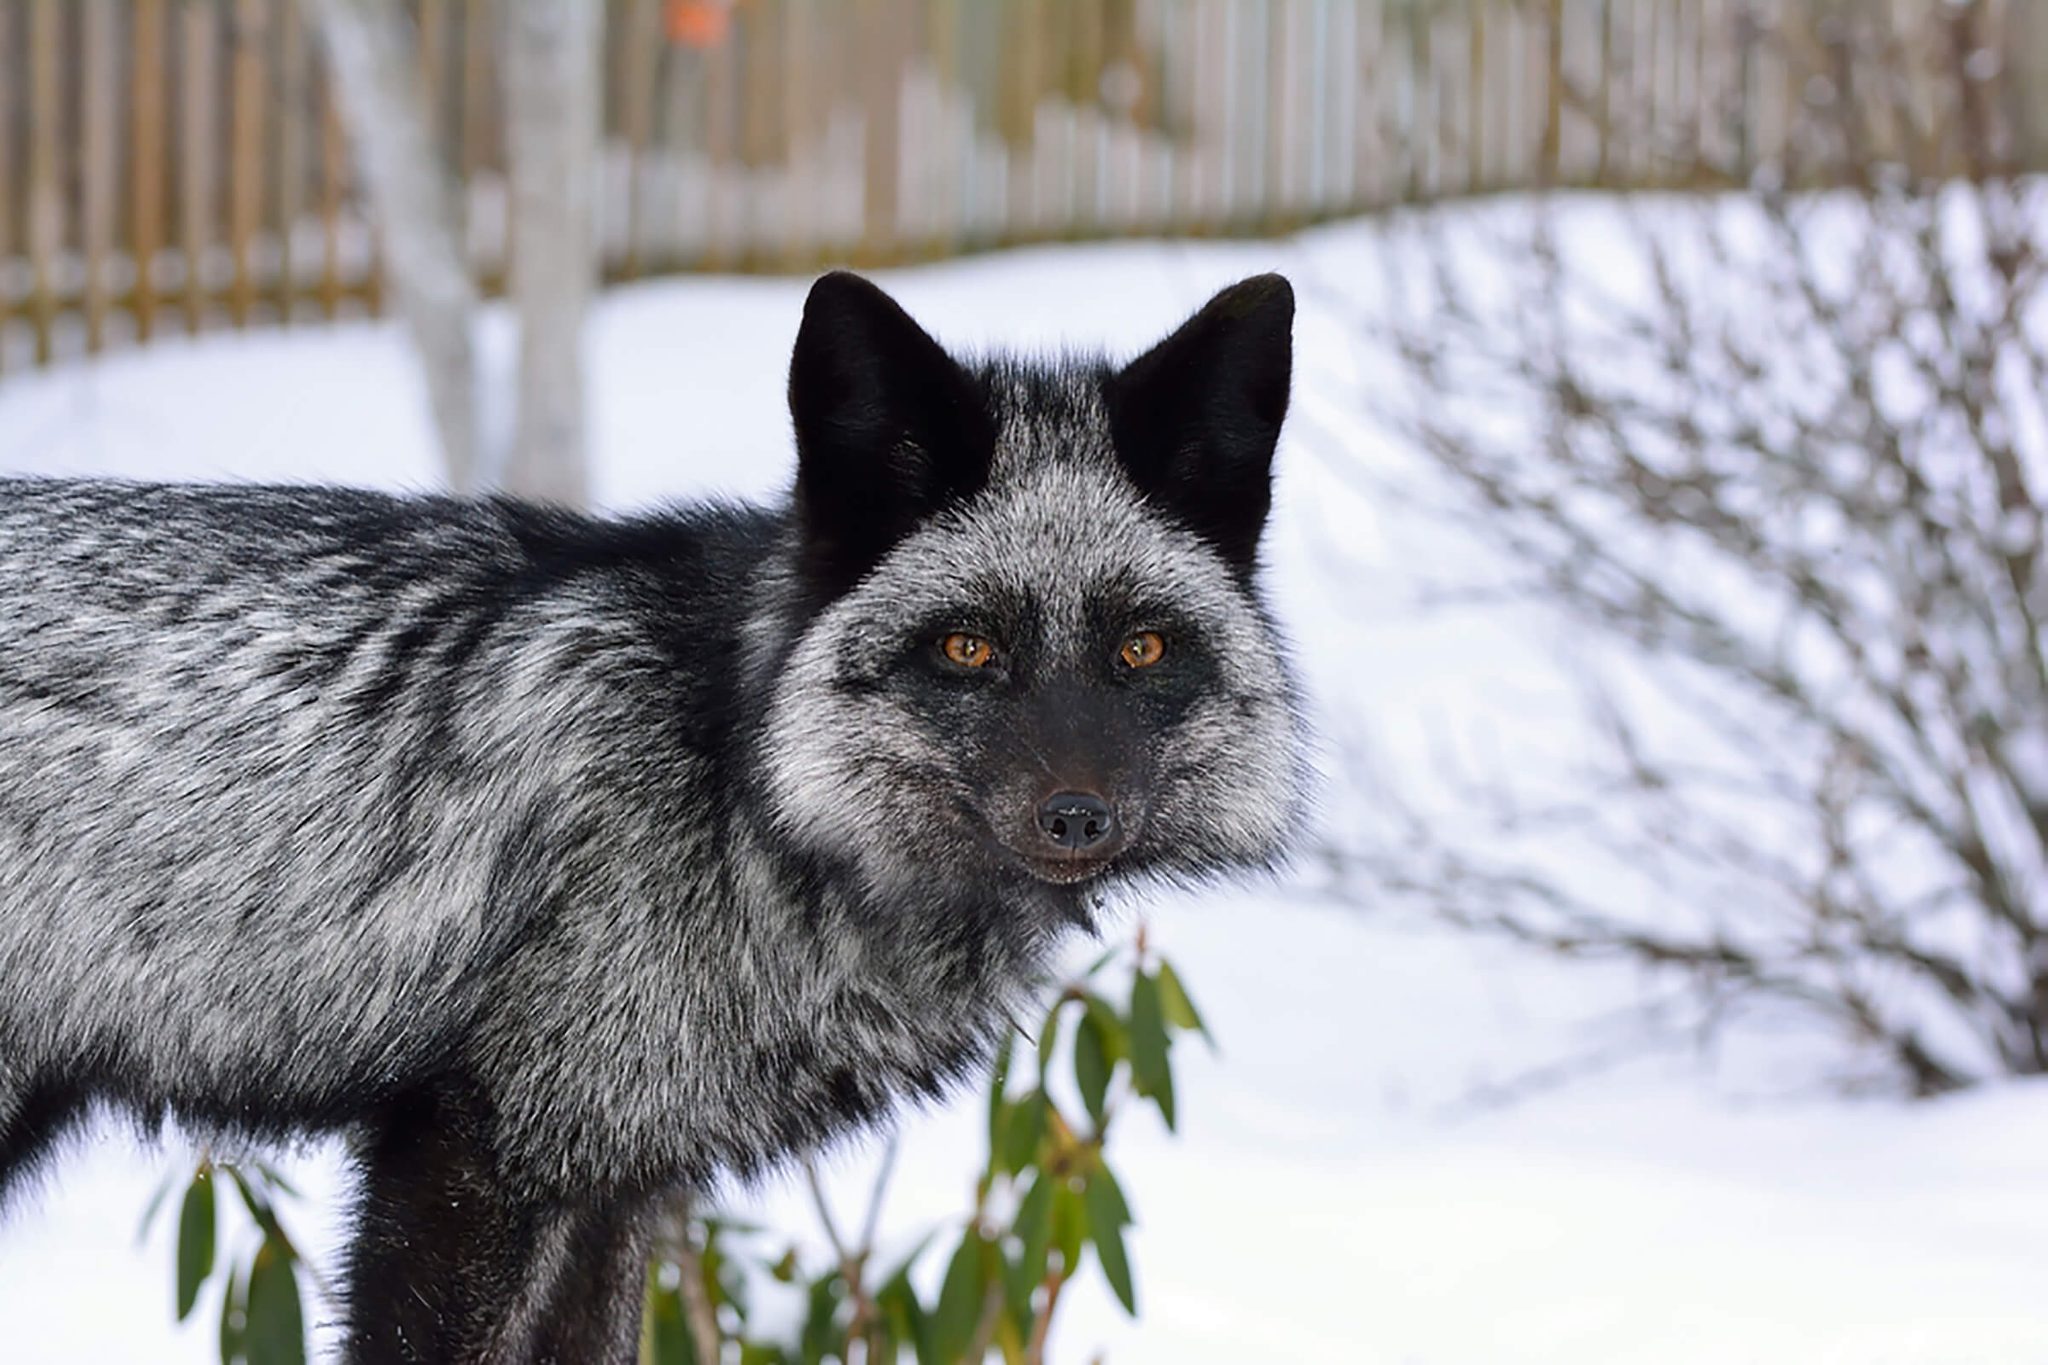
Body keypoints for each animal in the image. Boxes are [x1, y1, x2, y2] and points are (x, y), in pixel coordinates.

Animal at [0, 272, 1302, 1358]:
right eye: (968, 648)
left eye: (1141, 650)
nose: (1078, 817)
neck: (734, 790)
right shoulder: (474, 1151)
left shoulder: (609, 1178)